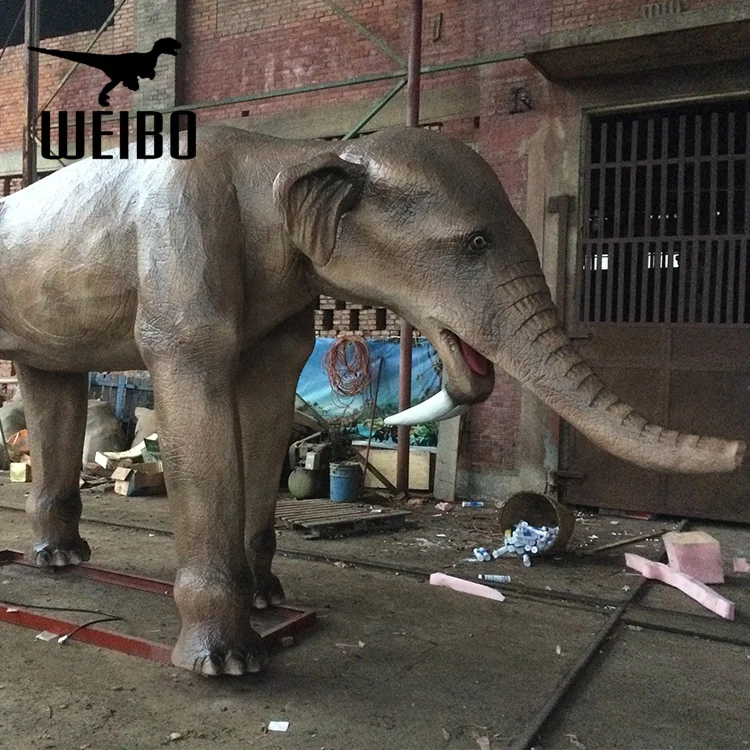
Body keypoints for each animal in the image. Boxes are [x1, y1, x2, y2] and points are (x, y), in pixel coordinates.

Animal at [0, 125, 743, 676]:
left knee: (50, 382)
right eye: (475, 244)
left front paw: (269, 602)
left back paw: (62, 560)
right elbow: (198, 409)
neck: (288, 155)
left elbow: (268, 408)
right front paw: (228, 664)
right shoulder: (182, 263)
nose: (740, 447)